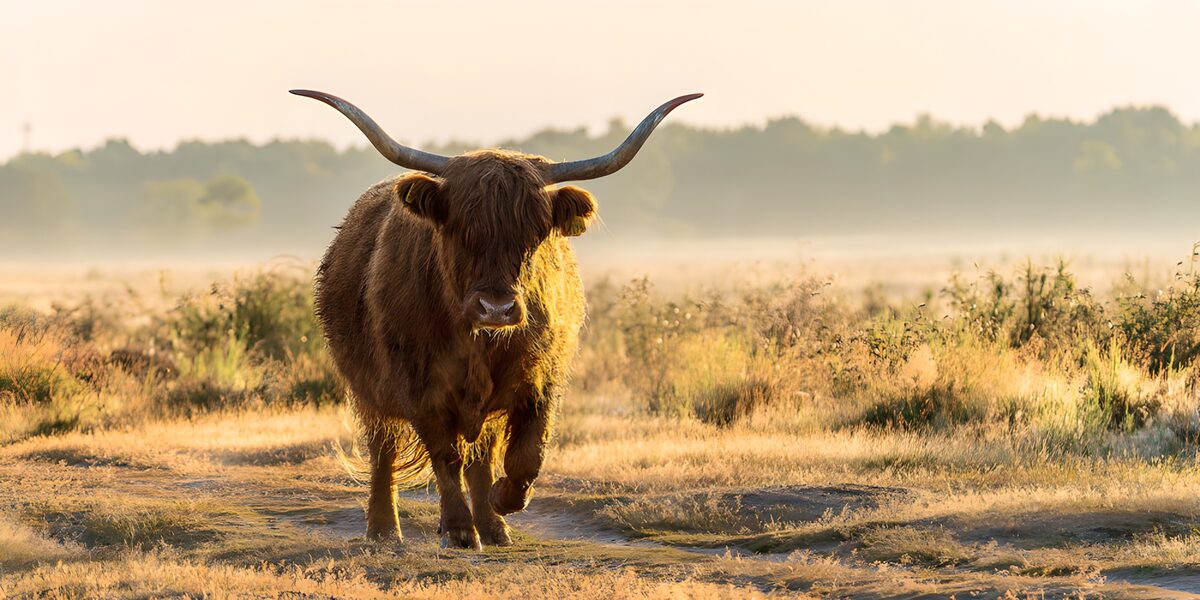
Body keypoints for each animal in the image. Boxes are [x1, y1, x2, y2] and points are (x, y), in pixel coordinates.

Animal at [292, 89, 701, 549]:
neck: (478, 342)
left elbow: (526, 454)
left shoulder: (541, 380)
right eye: (460, 229)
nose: (497, 309)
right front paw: (457, 529)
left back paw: (493, 525)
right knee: (385, 449)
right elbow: (445, 455)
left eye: (535, 233)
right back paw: (384, 529)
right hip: (367, 389)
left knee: (481, 455)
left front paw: (503, 500)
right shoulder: (418, 386)